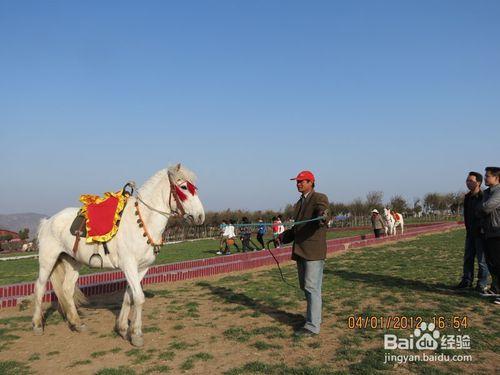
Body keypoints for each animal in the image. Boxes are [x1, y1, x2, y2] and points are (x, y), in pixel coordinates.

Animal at [32, 164, 204, 346]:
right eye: (183, 187)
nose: (200, 216)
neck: (142, 221)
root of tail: (47, 222)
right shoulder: (129, 266)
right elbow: (139, 297)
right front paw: (136, 335)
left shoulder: (142, 268)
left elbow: (129, 297)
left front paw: (122, 328)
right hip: (48, 260)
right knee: (40, 287)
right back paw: (37, 325)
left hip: (73, 262)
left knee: (67, 289)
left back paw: (77, 323)